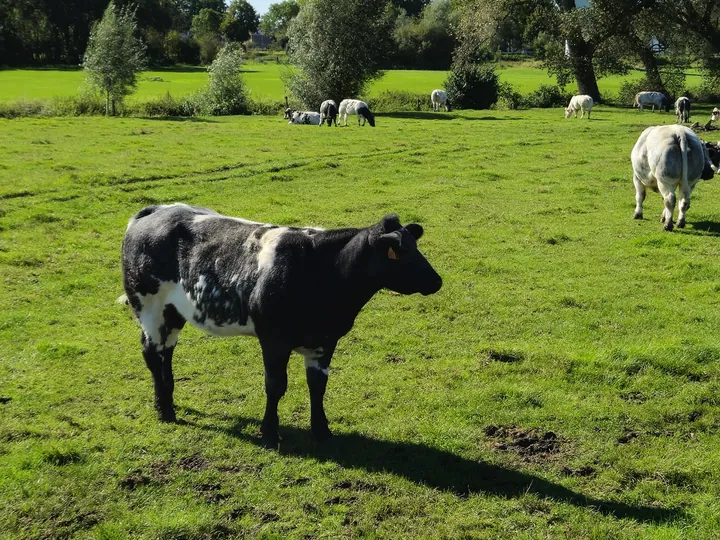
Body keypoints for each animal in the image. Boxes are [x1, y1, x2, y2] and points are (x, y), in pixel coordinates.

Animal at [121, 205, 442, 446]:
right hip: (148, 306)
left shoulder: (326, 340)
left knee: (166, 354)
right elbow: (275, 385)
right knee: (152, 354)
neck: (323, 272)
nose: (437, 281)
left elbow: (318, 386)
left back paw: (167, 401)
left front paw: (322, 430)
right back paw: (165, 411)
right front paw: (269, 432)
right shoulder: (274, 339)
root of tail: (158, 209)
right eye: (399, 251)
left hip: (173, 313)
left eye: (415, 246)